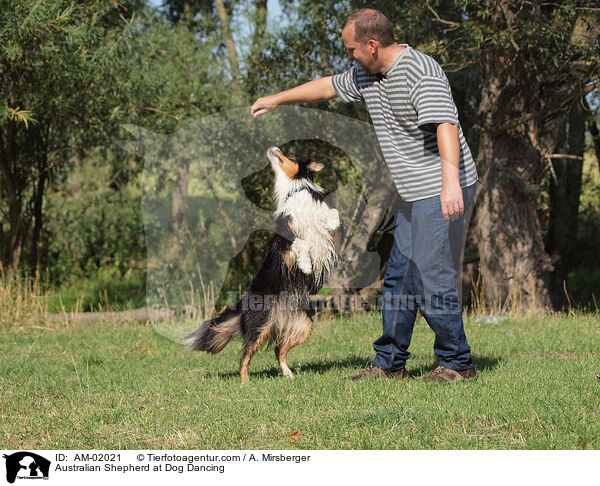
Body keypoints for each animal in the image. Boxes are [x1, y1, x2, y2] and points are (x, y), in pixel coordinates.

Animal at [185, 146, 340, 382]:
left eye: (291, 156)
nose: (273, 148)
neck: (294, 190)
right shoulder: (285, 243)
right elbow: (301, 243)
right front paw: (305, 265)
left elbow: (332, 215)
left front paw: (332, 221)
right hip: (261, 325)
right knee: (245, 355)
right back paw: (245, 382)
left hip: (303, 326)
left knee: (278, 349)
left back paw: (288, 373)